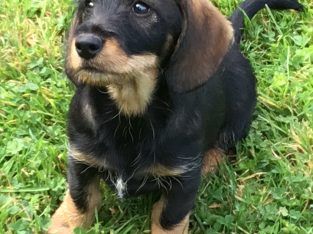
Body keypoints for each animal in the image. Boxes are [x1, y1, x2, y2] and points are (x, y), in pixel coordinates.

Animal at [49, 0, 302, 233]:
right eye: (89, 5)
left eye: (141, 8)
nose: (84, 45)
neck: (129, 112)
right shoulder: (80, 159)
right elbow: (79, 201)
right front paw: (65, 223)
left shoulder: (182, 181)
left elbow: (168, 219)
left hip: (239, 118)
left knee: (222, 146)